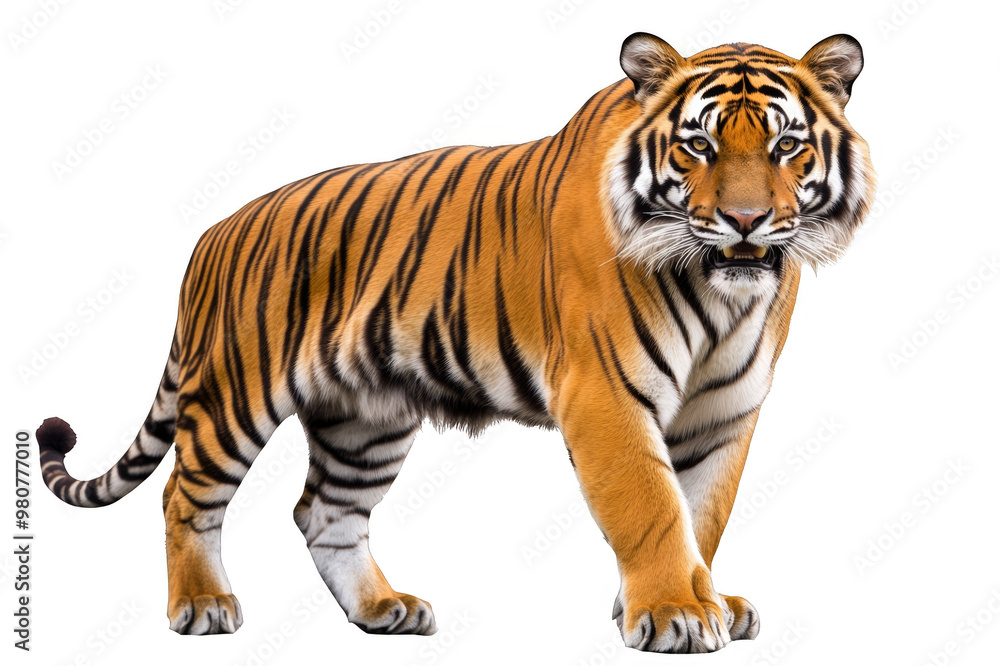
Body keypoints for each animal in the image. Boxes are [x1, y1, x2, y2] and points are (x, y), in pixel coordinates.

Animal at [36, 32, 875, 653]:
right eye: (700, 147)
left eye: (786, 148)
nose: (745, 222)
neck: (720, 291)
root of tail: (213, 233)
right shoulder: (606, 394)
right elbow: (651, 506)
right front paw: (674, 613)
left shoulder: (724, 412)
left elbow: (702, 512)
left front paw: (700, 601)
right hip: (235, 395)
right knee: (186, 493)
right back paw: (204, 606)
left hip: (365, 421)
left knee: (324, 512)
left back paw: (383, 610)